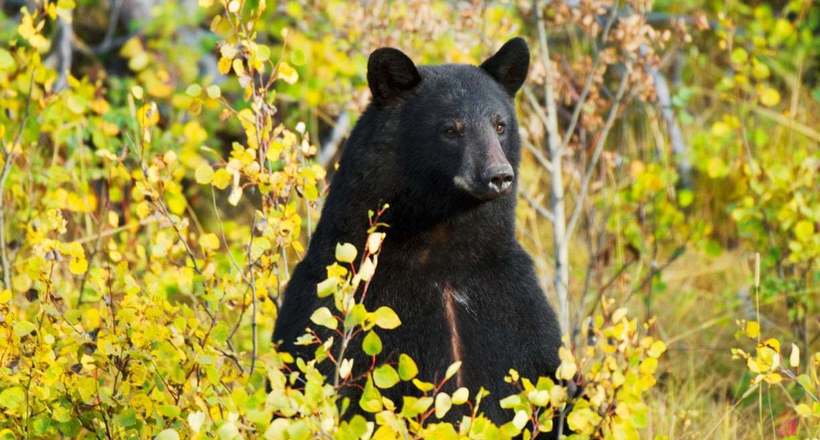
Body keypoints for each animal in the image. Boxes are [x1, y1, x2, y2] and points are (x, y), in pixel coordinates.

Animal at [276, 37, 564, 430]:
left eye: (500, 125)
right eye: (451, 129)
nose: (499, 175)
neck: (442, 245)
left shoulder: (513, 302)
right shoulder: (341, 303)